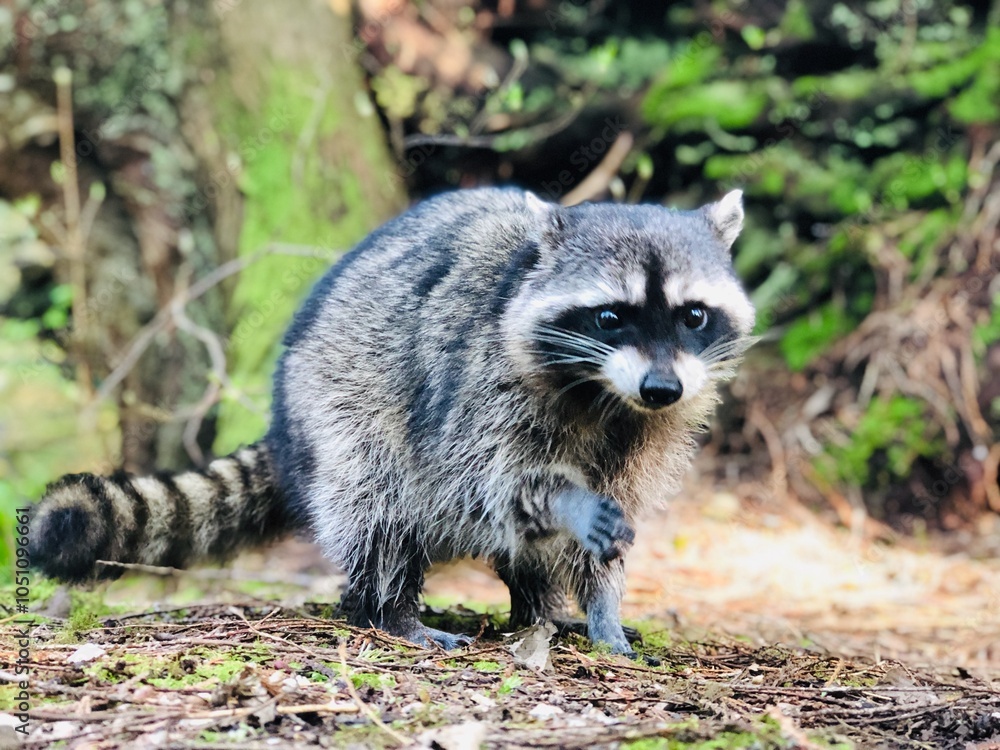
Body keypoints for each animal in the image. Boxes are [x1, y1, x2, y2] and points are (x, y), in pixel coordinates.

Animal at [30, 187, 754, 656]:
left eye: (693, 315)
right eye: (610, 316)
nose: (661, 387)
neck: (607, 394)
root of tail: (285, 416)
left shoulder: (655, 426)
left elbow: (604, 523)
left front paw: (603, 606)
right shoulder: (477, 386)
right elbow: (497, 479)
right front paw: (569, 501)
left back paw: (537, 609)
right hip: (338, 399)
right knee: (378, 501)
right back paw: (390, 612)